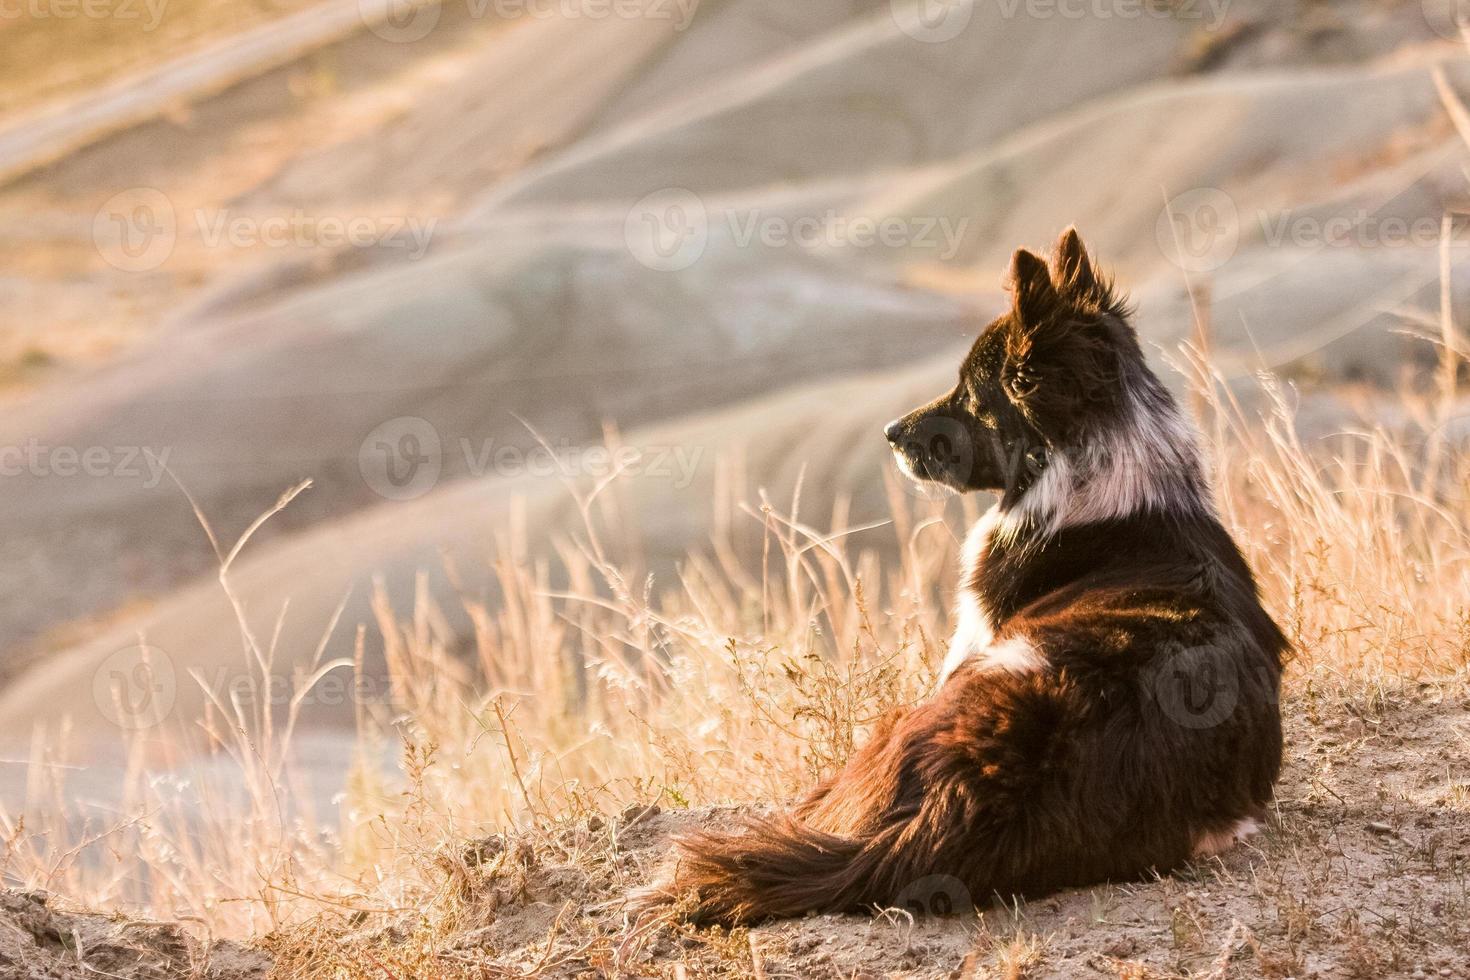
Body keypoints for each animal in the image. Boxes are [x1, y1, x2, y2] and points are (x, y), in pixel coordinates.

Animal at [637, 230, 1281, 928]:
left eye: (971, 394)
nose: (889, 433)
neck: (1104, 469)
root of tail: (973, 791)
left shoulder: (964, 643)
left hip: (911, 715)